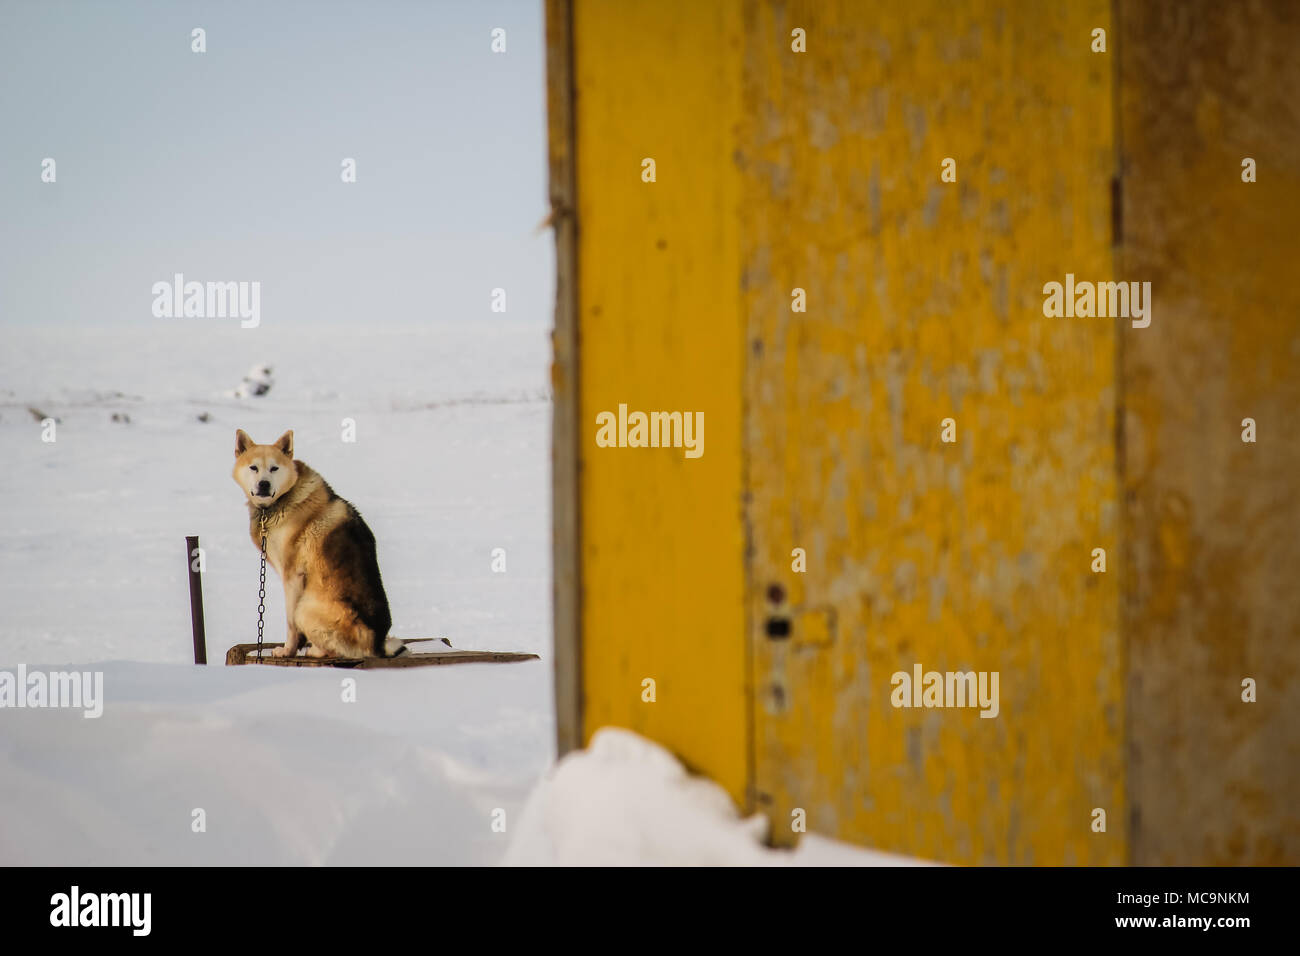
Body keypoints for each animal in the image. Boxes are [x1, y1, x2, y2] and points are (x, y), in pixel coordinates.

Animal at [228, 431, 400, 658]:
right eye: (253, 467)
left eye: (274, 468)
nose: (264, 484)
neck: (281, 501)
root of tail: (377, 643)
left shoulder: (292, 576)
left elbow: (290, 623)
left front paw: (288, 650)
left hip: (305, 607)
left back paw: (316, 651)